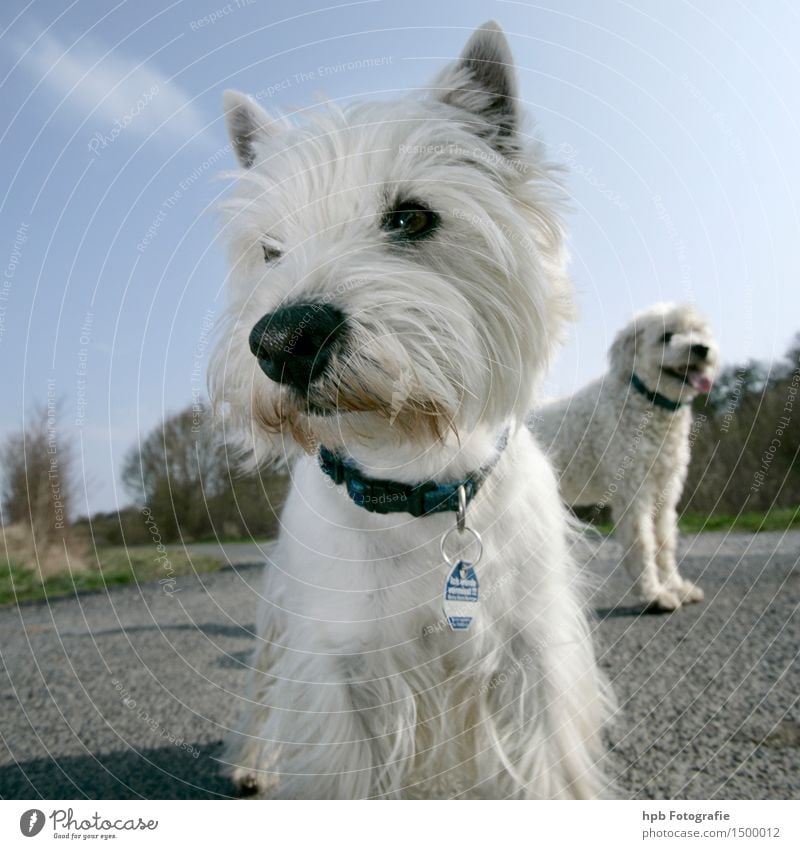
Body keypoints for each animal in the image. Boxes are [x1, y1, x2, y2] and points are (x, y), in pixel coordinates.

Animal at [209, 23, 608, 800]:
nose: (282, 341)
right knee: (263, 685)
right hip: (279, 614)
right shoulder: (342, 668)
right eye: (271, 250)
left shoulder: (530, 660)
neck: (416, 478)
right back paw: (253, 760)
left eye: (412, 217)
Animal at [536, 304, 720, 608]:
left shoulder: (664, 492)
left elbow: (664, 542)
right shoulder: (634, 493)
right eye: (667, 336)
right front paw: (655, 595)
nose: (702, 348)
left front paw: (677, 588)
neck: (646, 400)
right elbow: (642, 544)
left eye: (697, 331)